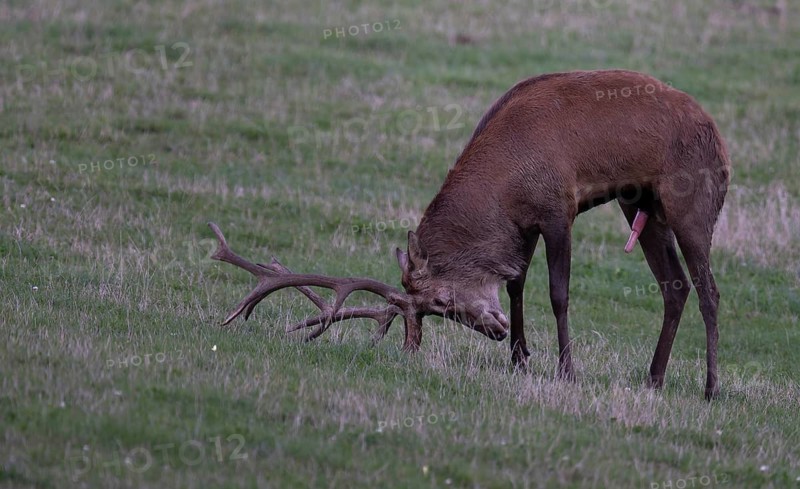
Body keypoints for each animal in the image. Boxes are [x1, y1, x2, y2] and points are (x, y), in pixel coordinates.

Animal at [208, 69, 730, 399]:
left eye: (440, 303)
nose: (492, 332)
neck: (507, 185)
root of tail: (720, 138)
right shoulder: (525, 225)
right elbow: (516, 283)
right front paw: (520, 359)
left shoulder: (558, 208)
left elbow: (557, 292)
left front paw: (567, 370)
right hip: (639, 205)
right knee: (675, 285)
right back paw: (654, 379)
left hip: (691, 200)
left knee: (708, 288)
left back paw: (710, 387)